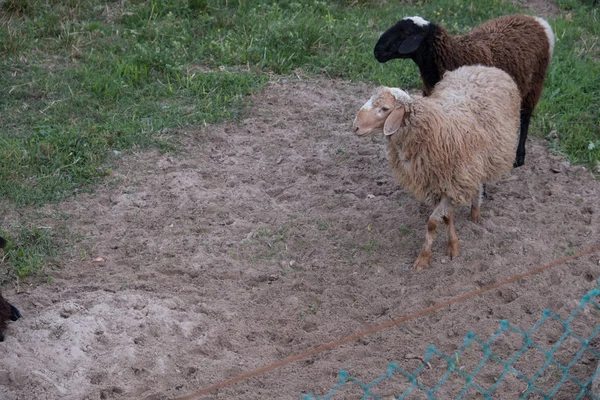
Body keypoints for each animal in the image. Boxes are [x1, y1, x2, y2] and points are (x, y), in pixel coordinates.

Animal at [352, 65, 520, 270]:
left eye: (384, 109)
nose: (355, 127)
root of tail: (485, 68)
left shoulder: (455, 183)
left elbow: (432, 222)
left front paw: (424, 257)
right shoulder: (439, 184)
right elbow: (446, 218)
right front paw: (452, 245)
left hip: (479, 162)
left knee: (479, 184)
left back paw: (475, 213)